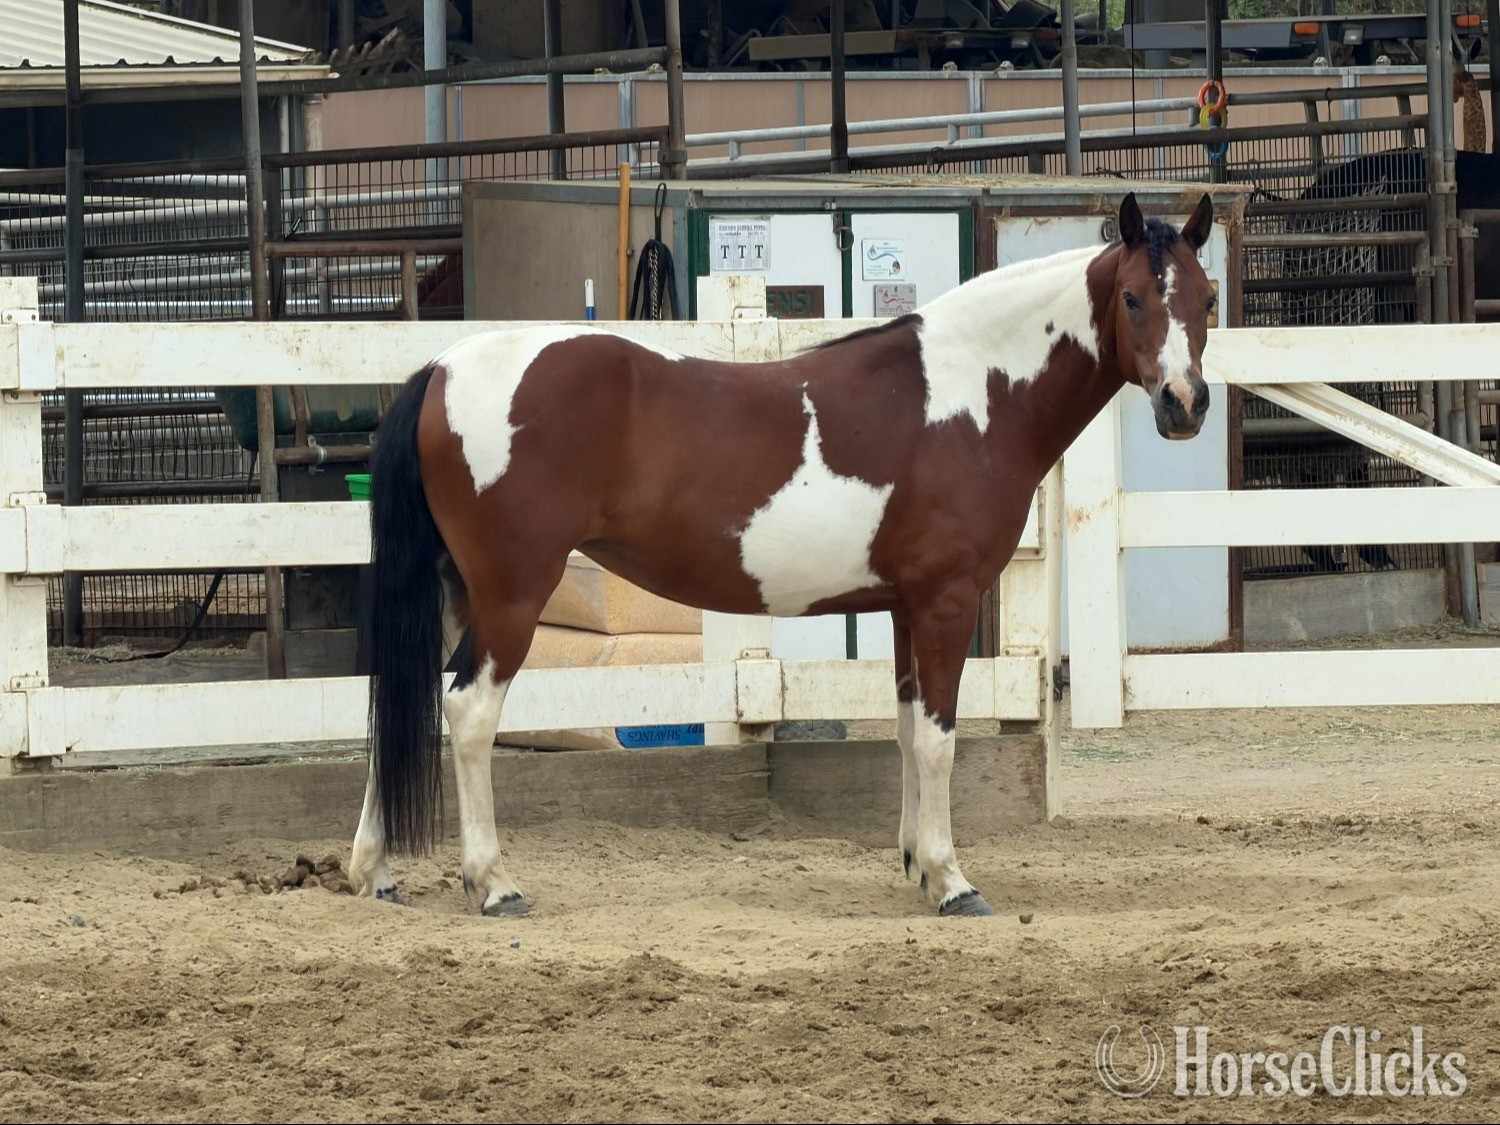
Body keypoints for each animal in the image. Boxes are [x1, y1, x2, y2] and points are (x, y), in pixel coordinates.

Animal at [348, 190, 1218, 919]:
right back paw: (493, 883)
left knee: (404, 700)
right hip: (511, 595)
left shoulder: (904, 607)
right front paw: (952, 880)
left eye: (1207, 300)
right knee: (468, 711)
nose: (1184, 405)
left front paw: (917, 862)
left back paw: (375, 872)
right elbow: (938, 738)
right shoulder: (946, 601)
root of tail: (440, 369)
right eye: (1133, 298)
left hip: (453, 591)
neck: (972, 392)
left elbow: (907, 729)